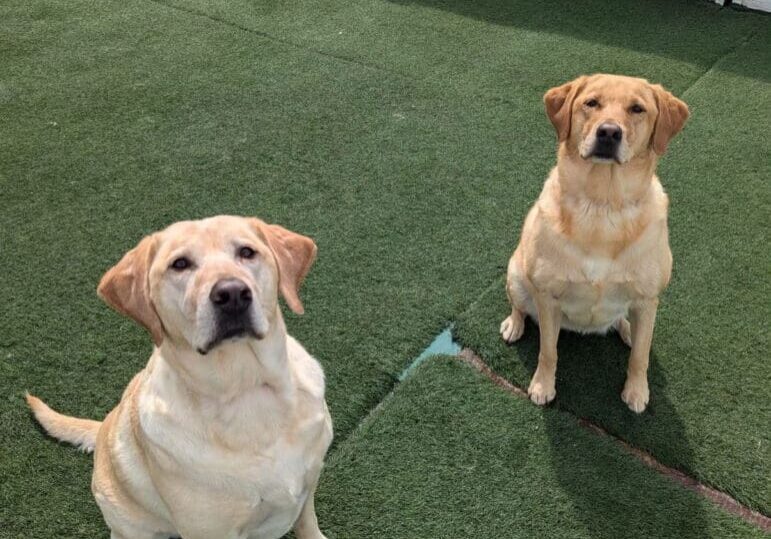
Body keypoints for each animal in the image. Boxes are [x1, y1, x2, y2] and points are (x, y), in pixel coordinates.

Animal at [25, 215, 334, 539]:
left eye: (247, 252)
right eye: (180, 264)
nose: (232, 294)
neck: (246, 389)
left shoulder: (308, 486)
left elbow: (307, 524)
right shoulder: (209, 531)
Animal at [504, 74, 692, 414]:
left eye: (637, 108)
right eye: (591, 103)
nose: (608, 132)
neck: (603, 207)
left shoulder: (648, 298)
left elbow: (640, 357)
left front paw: (636, 391)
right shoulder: (548, 297)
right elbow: (548, 351)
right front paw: (542, 386)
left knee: (629, 326)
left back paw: (629, 330)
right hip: (516, 274)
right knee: (520, 306)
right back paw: (514, 325)